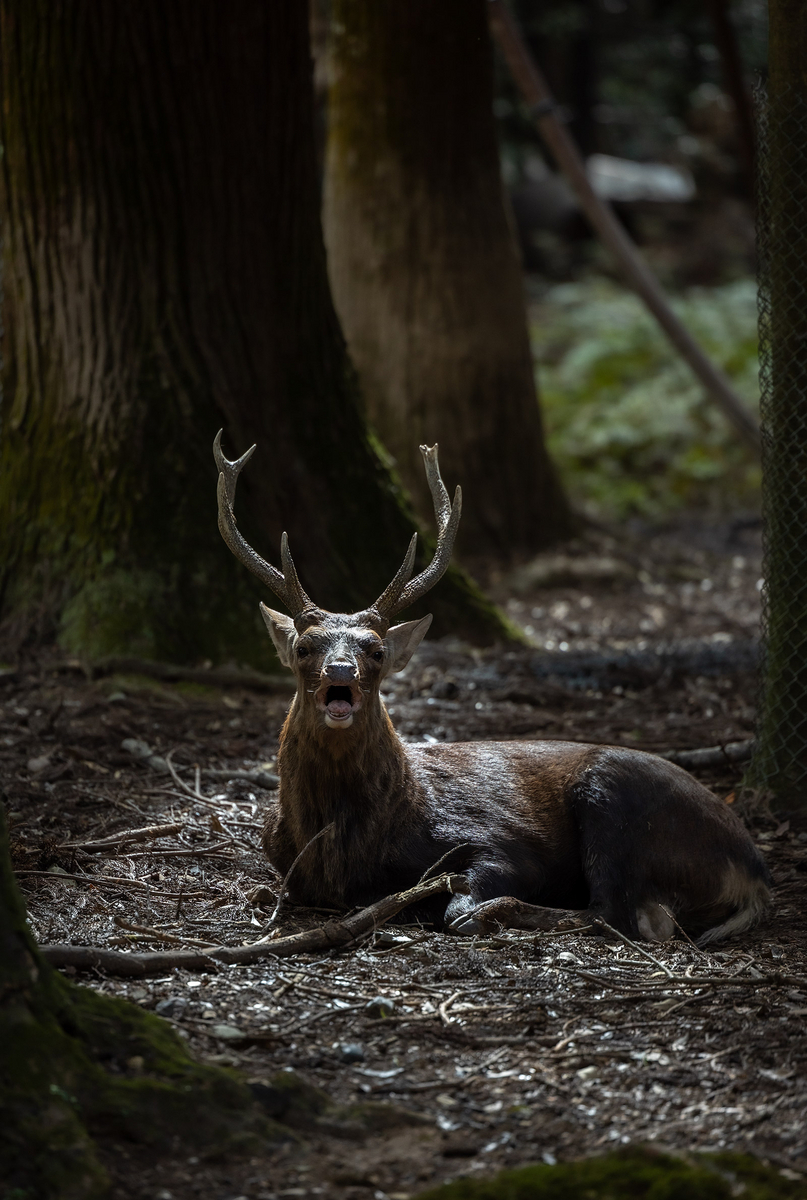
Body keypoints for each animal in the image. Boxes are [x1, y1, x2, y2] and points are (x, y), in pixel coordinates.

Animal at [212, 434, 768, 945]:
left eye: (376, 649)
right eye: (305, 646)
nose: (342, 672)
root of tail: (753, 870)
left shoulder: (502, 842)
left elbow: (465, 899)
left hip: (615, 797)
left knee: (625, 916)